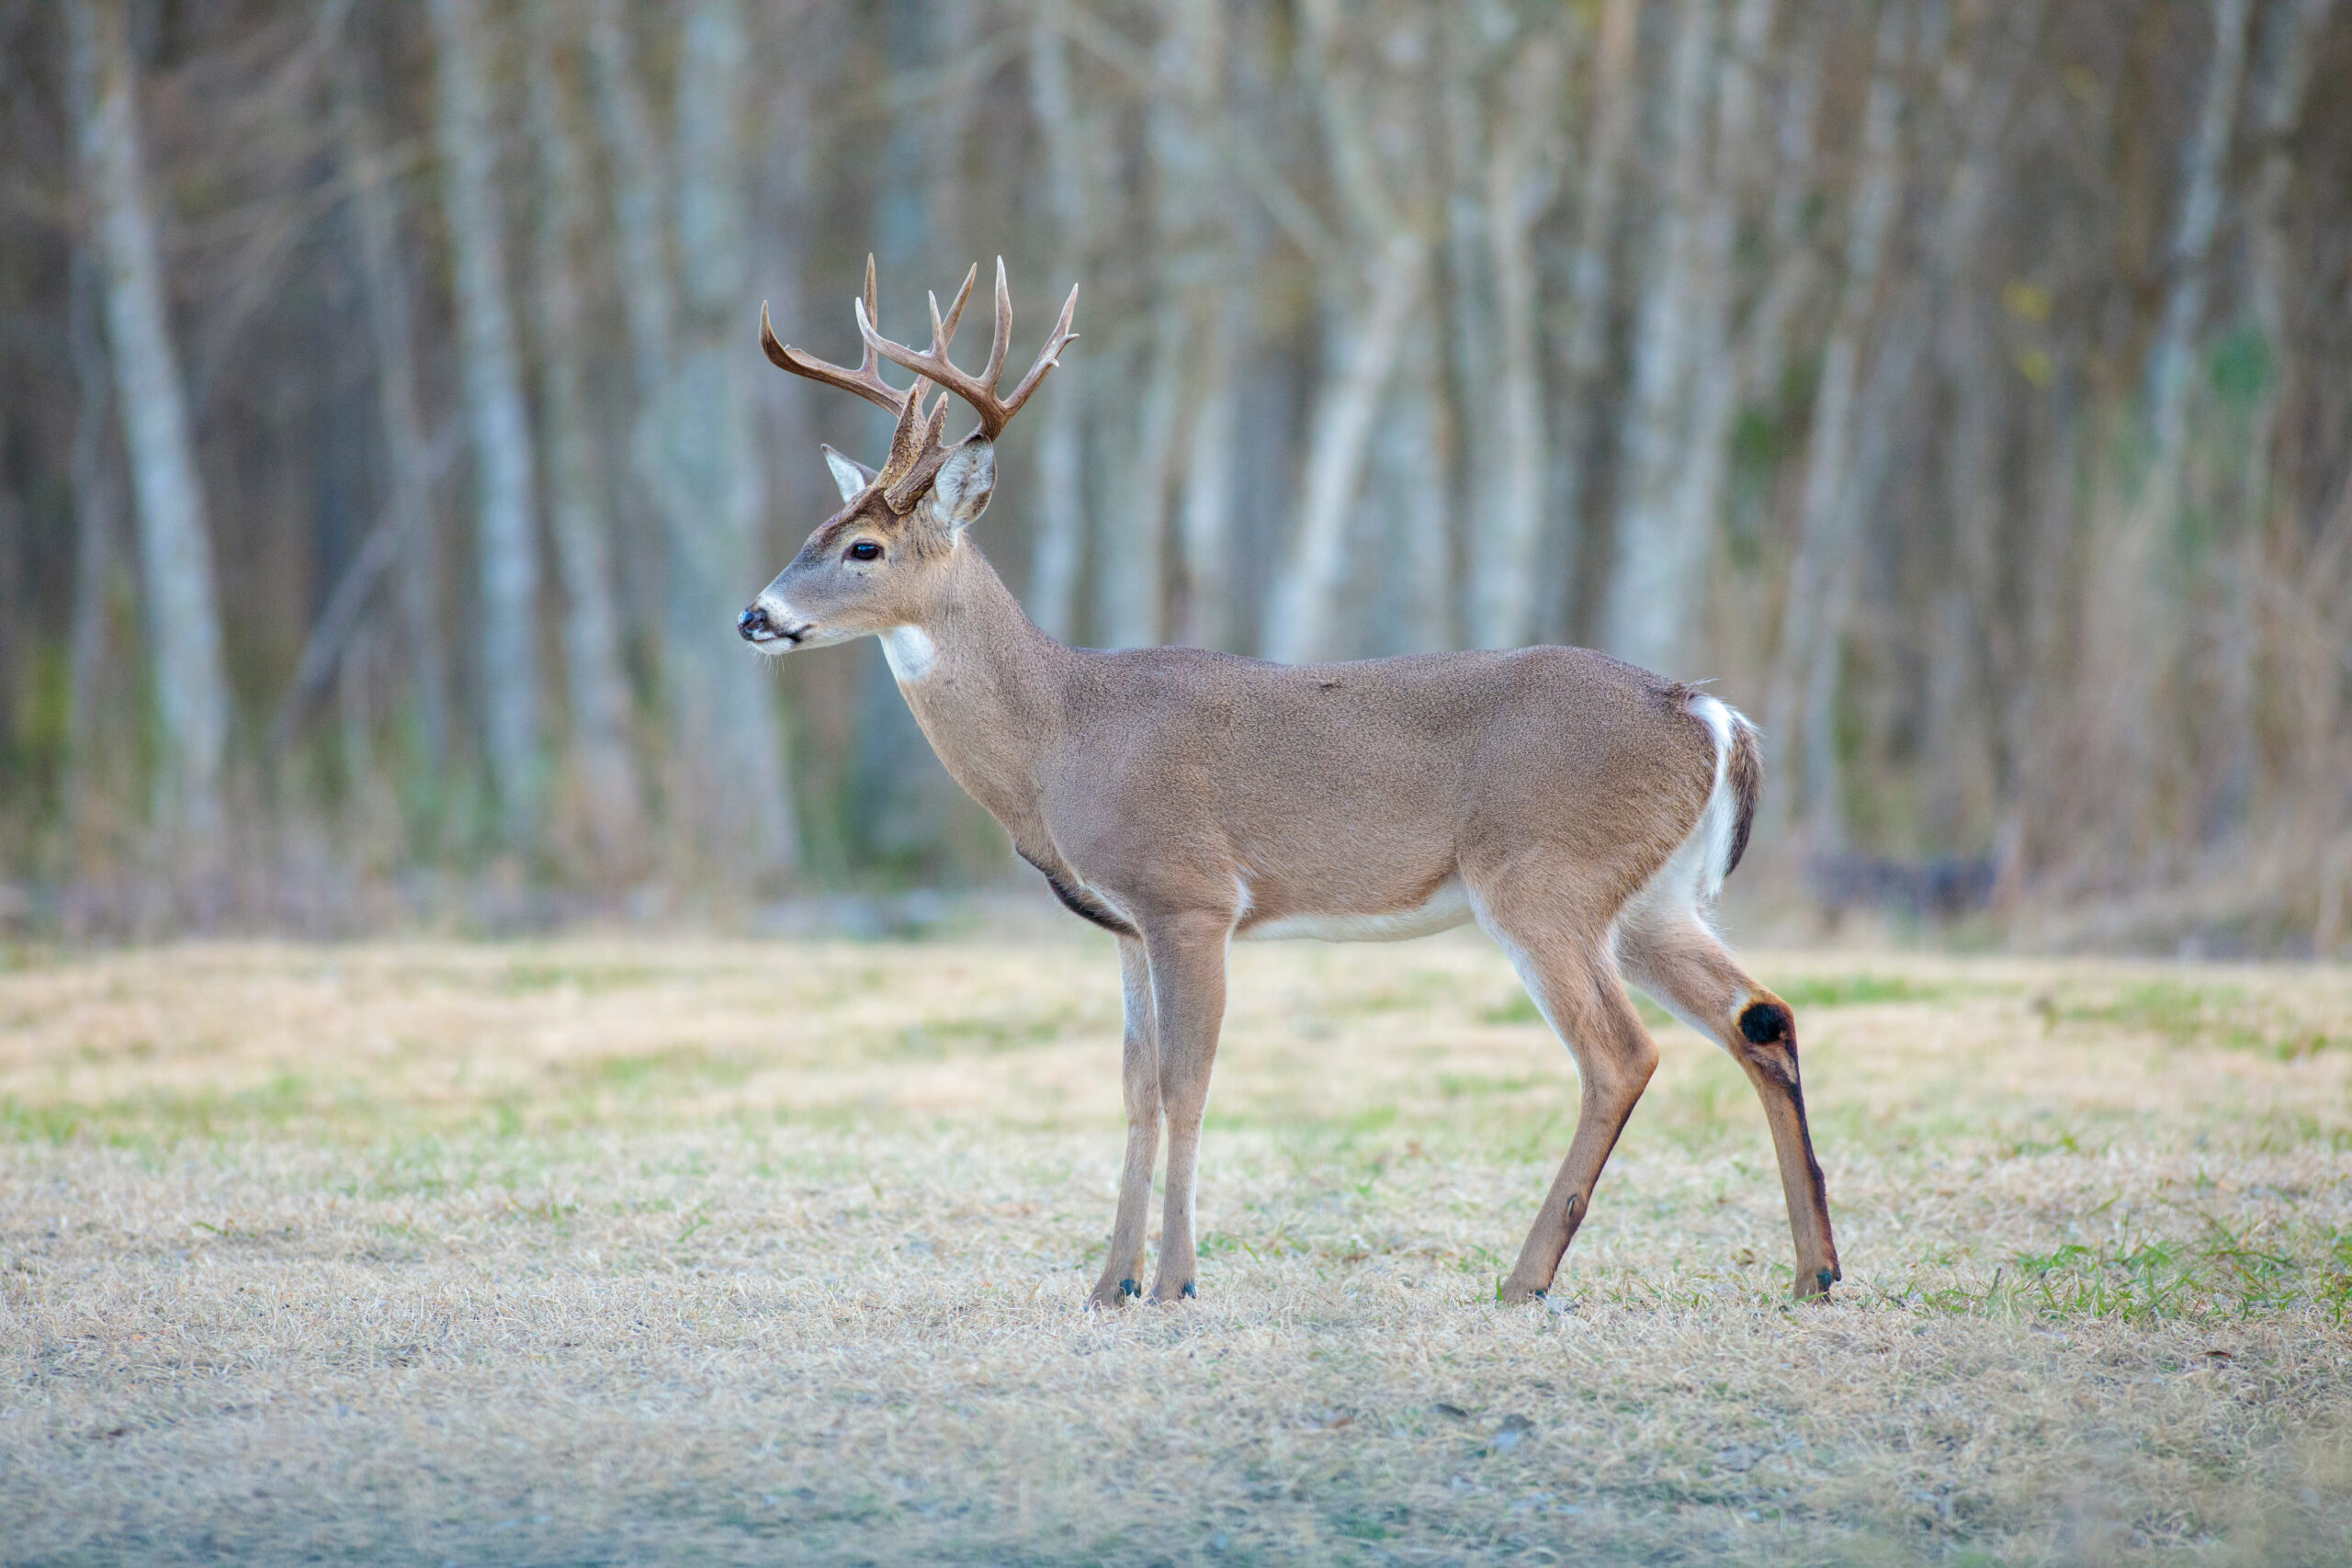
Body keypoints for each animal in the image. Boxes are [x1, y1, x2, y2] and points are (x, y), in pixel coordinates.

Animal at [733, 257, 1834, 1306]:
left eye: (864, 548)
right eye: (811, 533)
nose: (755, 616)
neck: (1063, 734)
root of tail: (1710, 713)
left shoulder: (1191, 896)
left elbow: (1187, 1084)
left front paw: (1173, 1282)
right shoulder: (1125, 925)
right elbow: (1133, 1089)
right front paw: (1108, 1283)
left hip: (1543, 877)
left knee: (1621, 1052)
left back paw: (1527, 1278)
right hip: (1650, 898)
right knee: (1760, 1015)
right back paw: (1814, 1272)